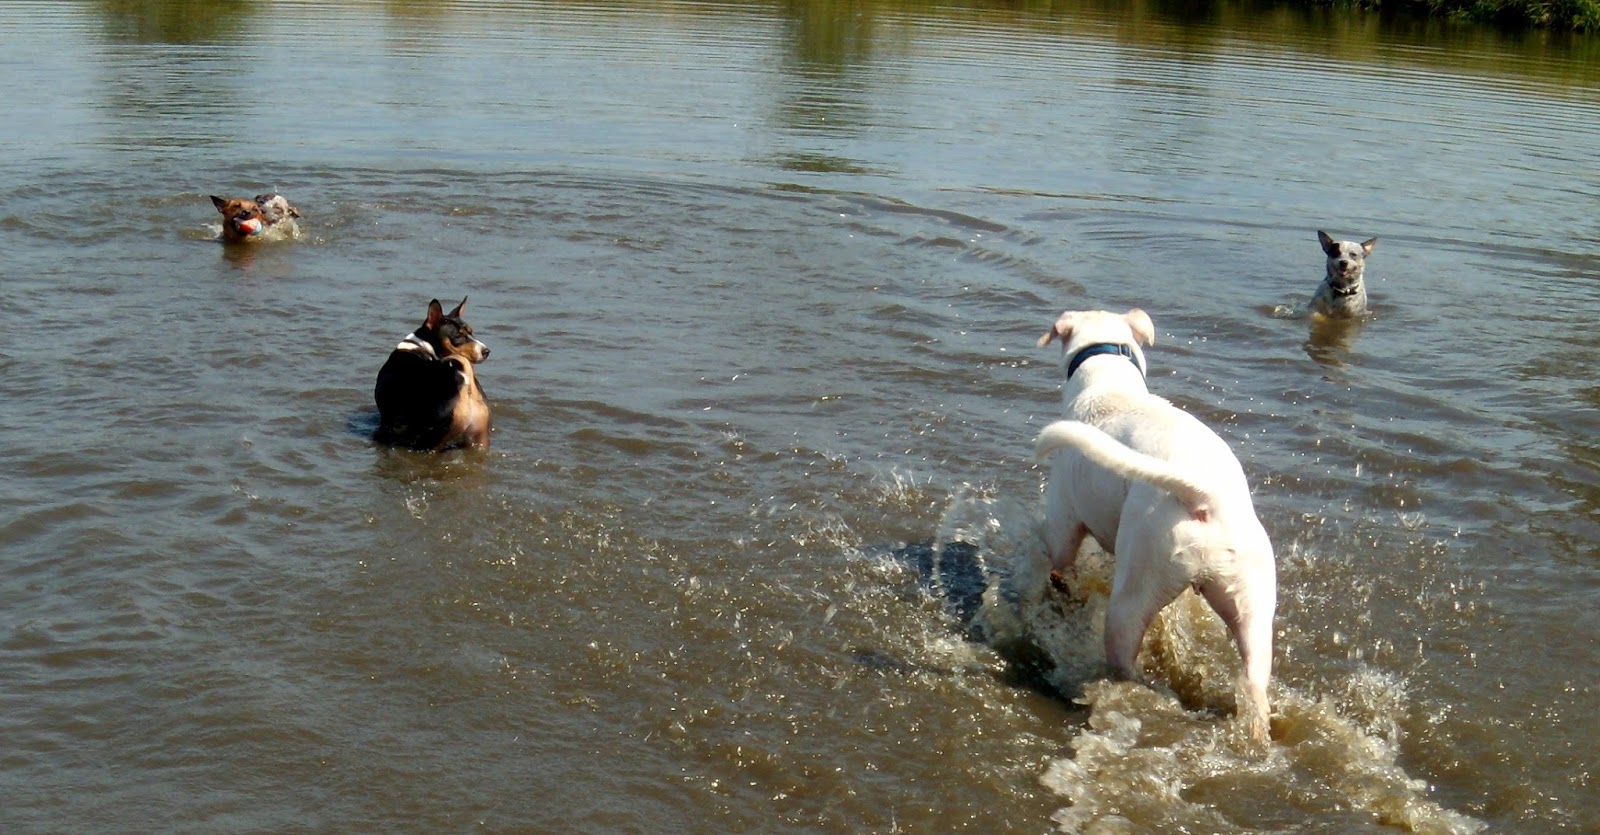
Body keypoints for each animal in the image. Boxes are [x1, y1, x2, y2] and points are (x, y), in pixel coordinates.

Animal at [374, 298, 492, 451]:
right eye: (458, 336)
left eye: (471, 332)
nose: (486, 351)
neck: (421, 347)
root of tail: (465, 382)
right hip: (478, 439)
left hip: (431, 440)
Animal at [1034, 309, 1276, 741]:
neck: (1109, 385)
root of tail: (1204, 497)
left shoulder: (1063, 526)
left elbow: (1056, 562)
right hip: (1253, 607)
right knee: (1254, 683)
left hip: (1128, 603)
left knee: (1126, 662)